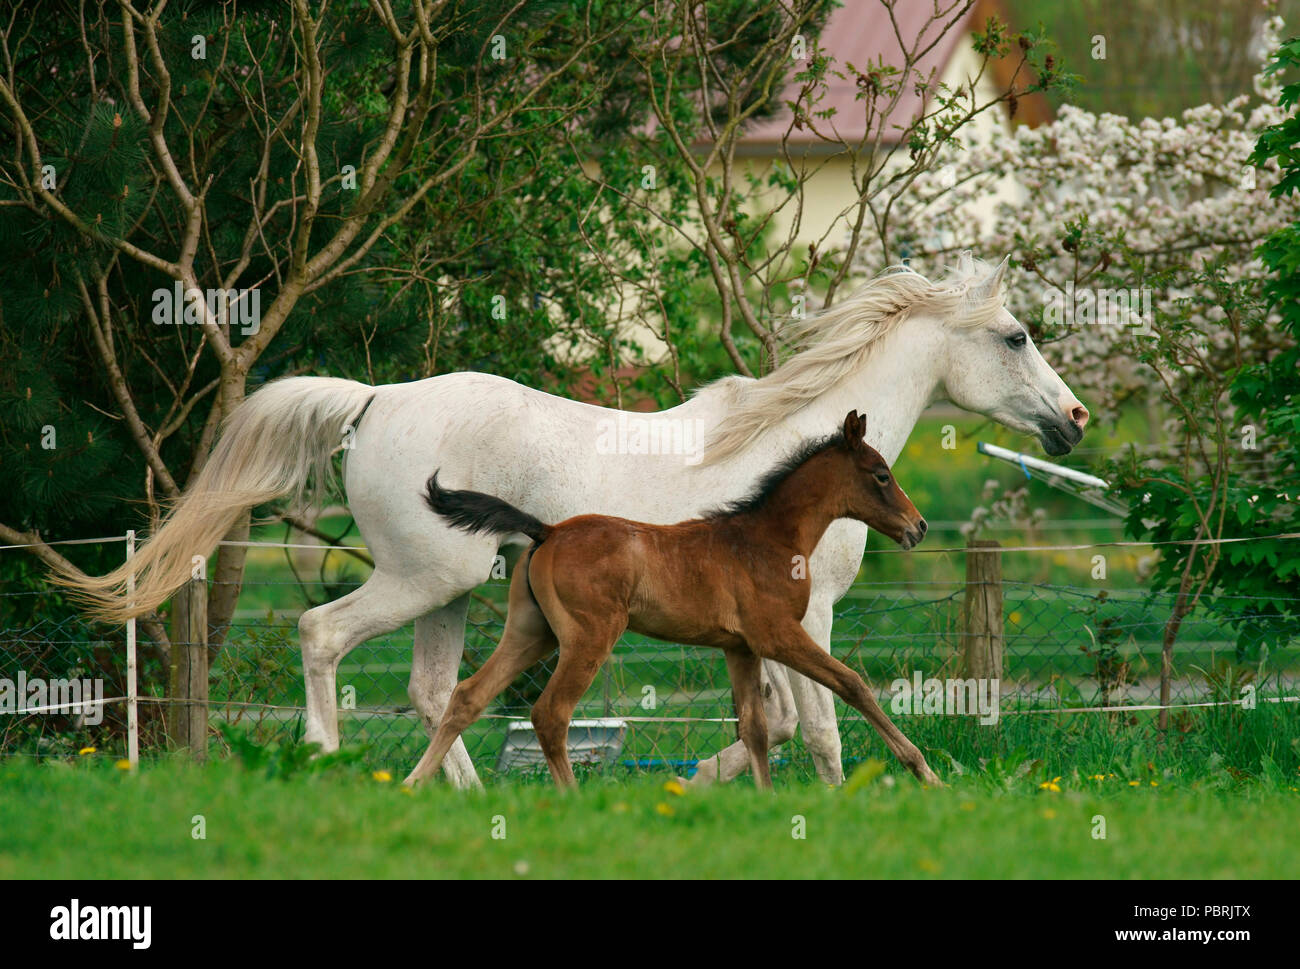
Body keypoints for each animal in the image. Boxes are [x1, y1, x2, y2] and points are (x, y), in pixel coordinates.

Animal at [406, 410, 937, 789]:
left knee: (467, 696)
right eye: (881, 474)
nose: (919, 526)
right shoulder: (778, 635)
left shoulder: (740, 647)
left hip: (531, 632)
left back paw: (413, 785)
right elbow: (852, 684)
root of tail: (548, 530)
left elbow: (755, 728)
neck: (769, 538)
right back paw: (572, 799)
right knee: (549, 713)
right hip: (589, 636)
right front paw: (924, 771)